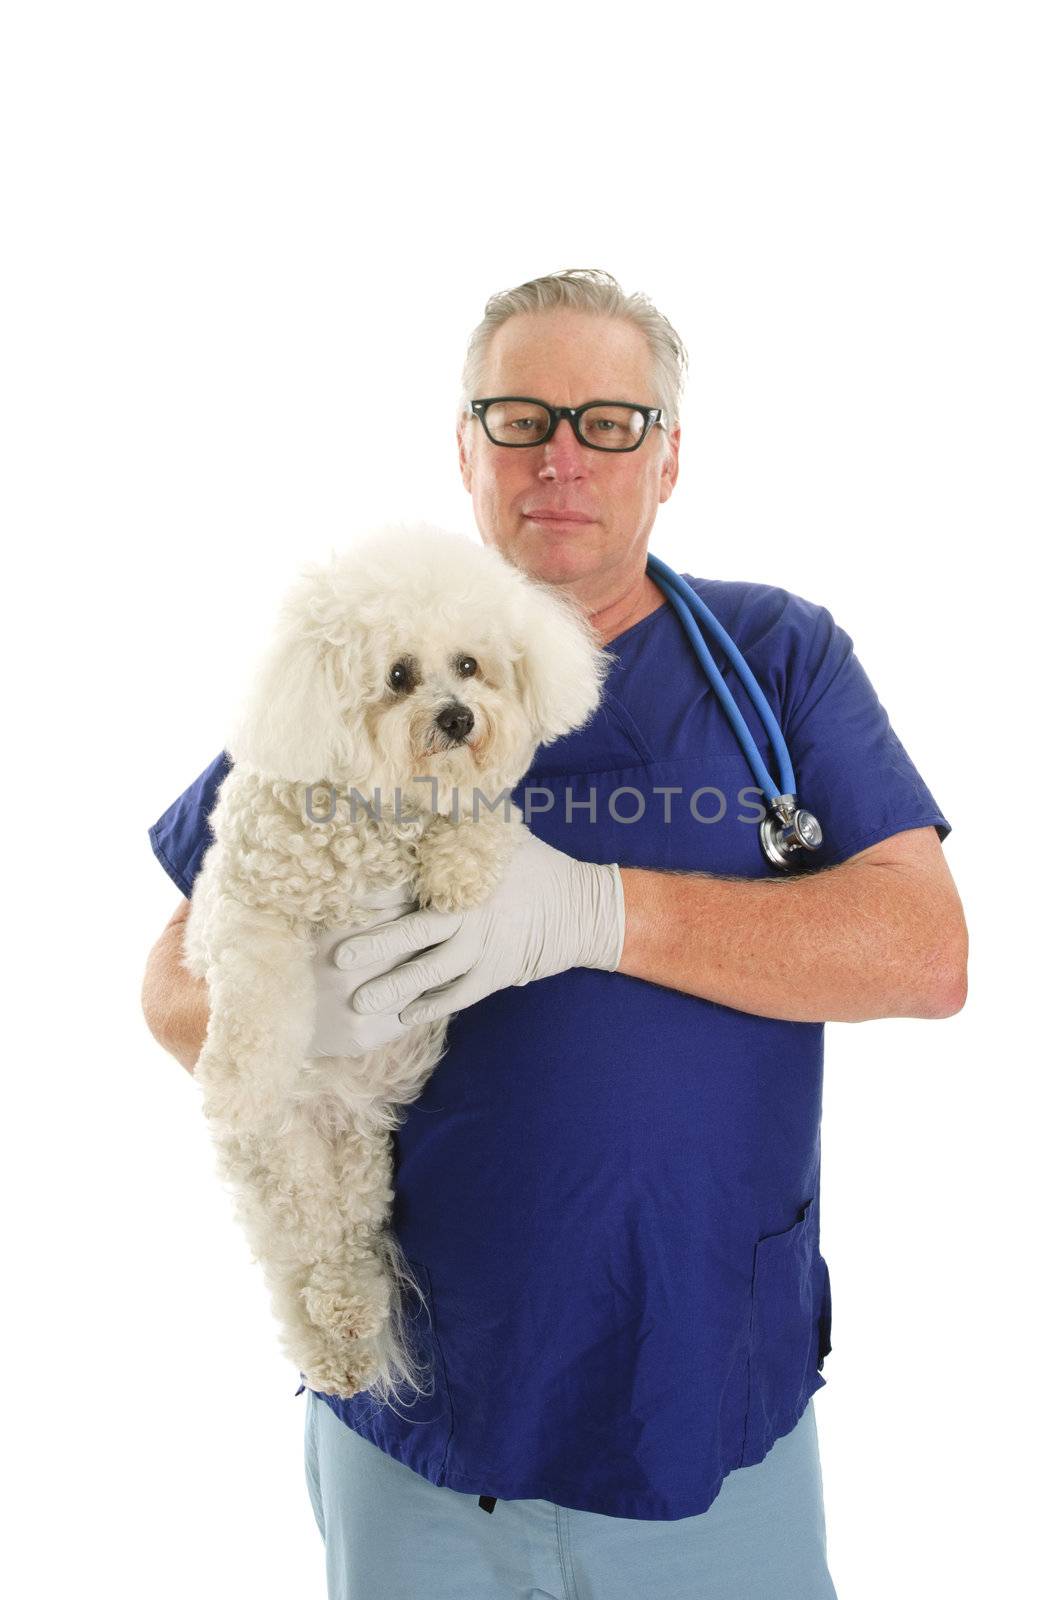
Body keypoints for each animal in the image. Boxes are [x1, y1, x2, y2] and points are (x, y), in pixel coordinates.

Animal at [182, 524, 604, 1401]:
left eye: (470, 664)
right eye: (400, 675)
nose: (457, 717)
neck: (378, 815)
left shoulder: (476, 805)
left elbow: (484, 820)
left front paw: (458, 872)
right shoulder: (251, 910)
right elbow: (254, 1003)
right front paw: (234, 1084)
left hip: (360, 1168)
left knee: (345, 1242)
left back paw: (352, 1323)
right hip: (282, 1167)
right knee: (303, 1260)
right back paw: (333, 1343)